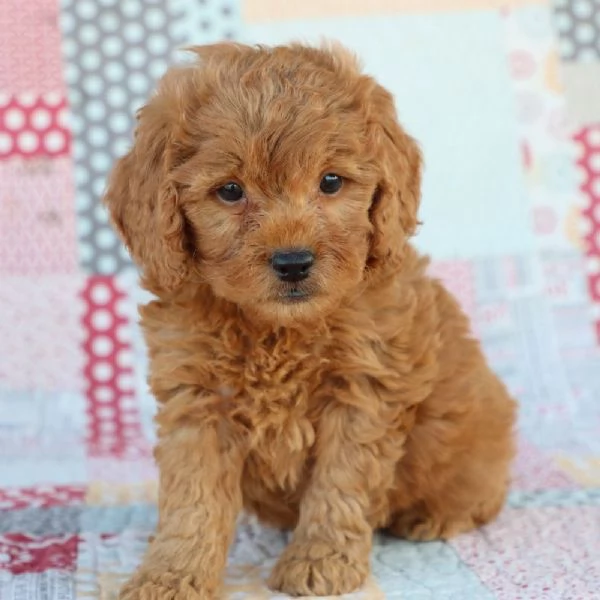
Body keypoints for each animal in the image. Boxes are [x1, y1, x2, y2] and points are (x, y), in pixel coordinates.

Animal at [103, 43, 516, 600]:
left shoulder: (362, 391)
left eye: (331, 182)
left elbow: (340, 485)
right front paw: (170, 574)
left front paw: (320, 560)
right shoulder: (198, 400)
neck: (277, 329)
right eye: (230, 191)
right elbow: (192, 500)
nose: (294, 261)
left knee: (481, 495)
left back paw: (433, 516)